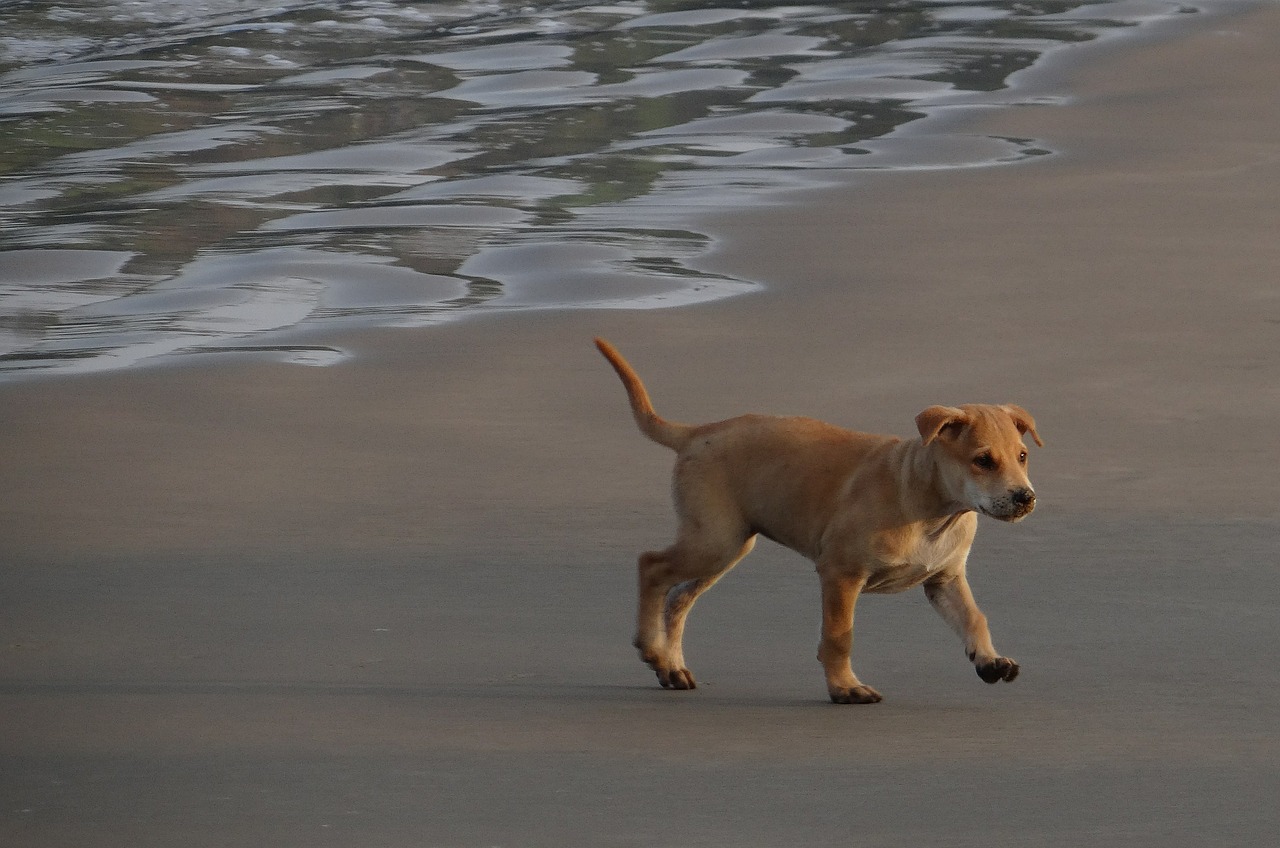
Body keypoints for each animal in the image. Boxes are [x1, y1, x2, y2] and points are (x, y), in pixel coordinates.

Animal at [596, 338, 1039, 701]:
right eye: (983, 460)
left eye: (1022, 456)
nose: (1026, 498)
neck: (931, 509)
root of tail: (696, 432)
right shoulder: (841, 573)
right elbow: (839, 636)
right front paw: (845, 687)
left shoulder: (944, 579)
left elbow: (975, 617)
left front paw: (990, 660)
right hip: (713, 542)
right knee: (652, 566)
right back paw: (652, 649)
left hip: (726, 545)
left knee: (678, 598)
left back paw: (671, 668)